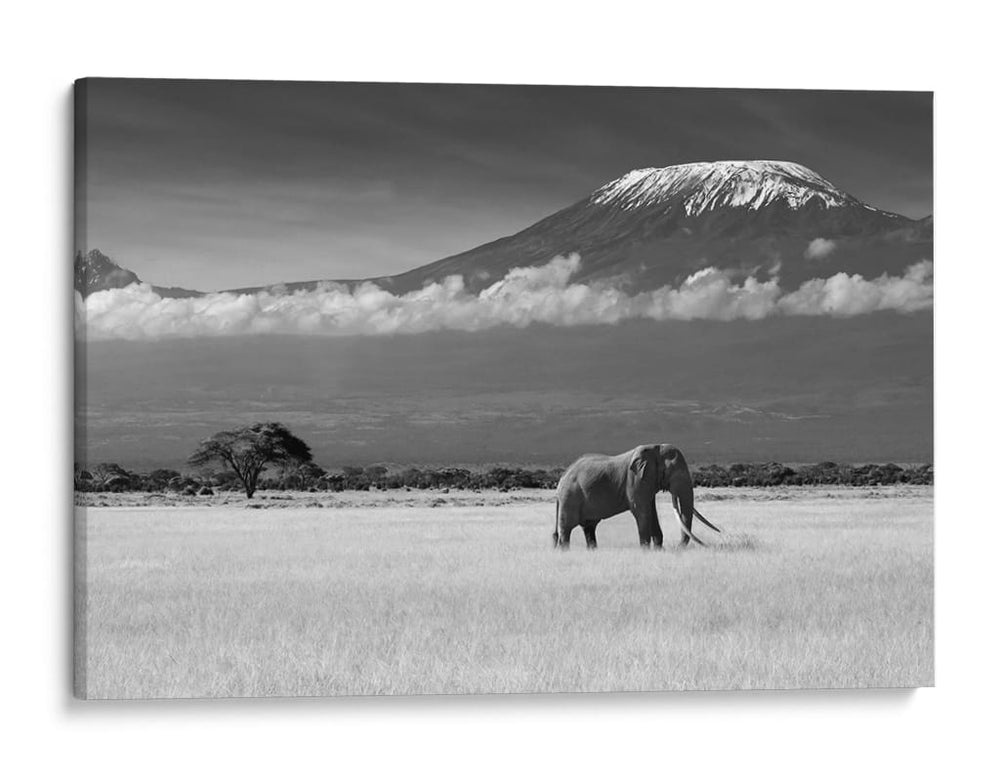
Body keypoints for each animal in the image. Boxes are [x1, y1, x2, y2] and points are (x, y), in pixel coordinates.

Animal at [553, 444, 722, 550]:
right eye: (671, 472)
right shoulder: (635, 480)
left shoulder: (647, 482)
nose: (677, 548)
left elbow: (652, 511)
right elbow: (642, 512)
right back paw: (564, 552)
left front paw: (659, 549)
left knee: (589, 528)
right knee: (566, 529)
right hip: (570, 498)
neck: (655, 449)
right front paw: (646, 550)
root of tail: (561, 479)